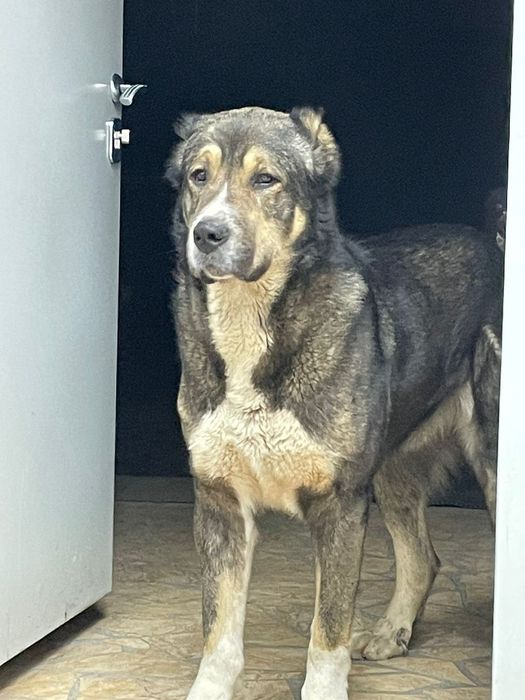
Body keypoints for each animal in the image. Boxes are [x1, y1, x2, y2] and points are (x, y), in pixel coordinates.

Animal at [166, 107, 503, 700]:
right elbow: (219, 633)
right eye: (197, 177)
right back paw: (393, 632)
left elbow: (327, 634)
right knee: (422, 559)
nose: (207, 233)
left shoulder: (339, 505)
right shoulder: (220, 500)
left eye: (266, 179)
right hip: (393, 472)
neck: (252, 323)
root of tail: (495, 244)